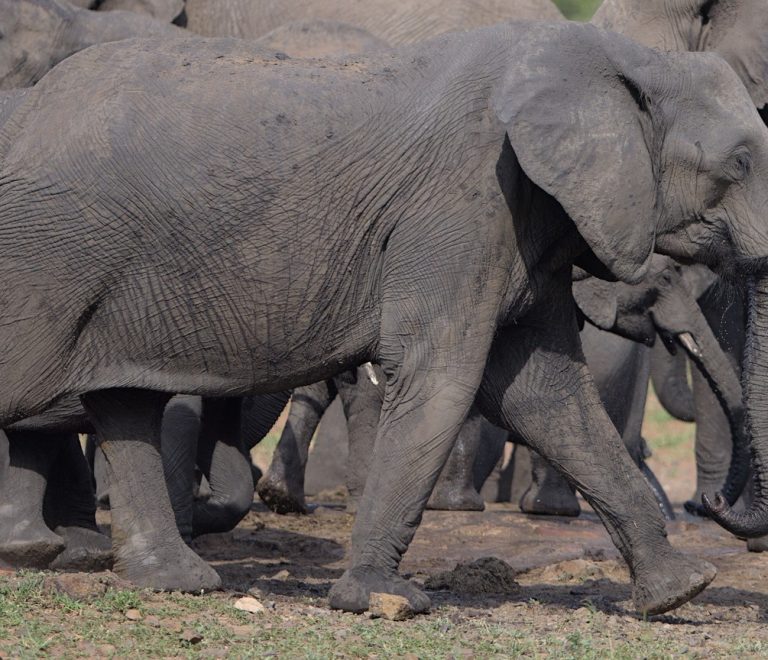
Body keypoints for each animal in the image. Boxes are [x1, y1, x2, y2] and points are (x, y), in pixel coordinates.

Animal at [0, 23, 765, 617]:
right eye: (741, 162)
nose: (711, 508)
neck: (624, 56)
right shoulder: (465, 202)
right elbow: (441, 376)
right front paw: (379, 599)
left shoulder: (523, 219)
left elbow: (546, 396)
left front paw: (679, 592)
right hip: (46, 254)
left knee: (124, 402)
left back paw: (177, 582)